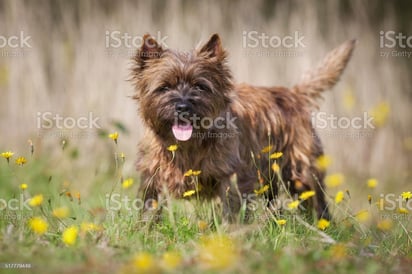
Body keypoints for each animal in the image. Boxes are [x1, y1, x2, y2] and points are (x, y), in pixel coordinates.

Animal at [132, 34, 354, 222]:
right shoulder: (152, 175)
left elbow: (230, 209)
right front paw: (145, 230)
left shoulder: (231, 176)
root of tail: (293, 94)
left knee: (315, 200)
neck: (187, 144)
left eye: (200, 86)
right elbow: (149, 206)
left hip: (301, 170)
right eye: (164, 87)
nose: (183, 107)